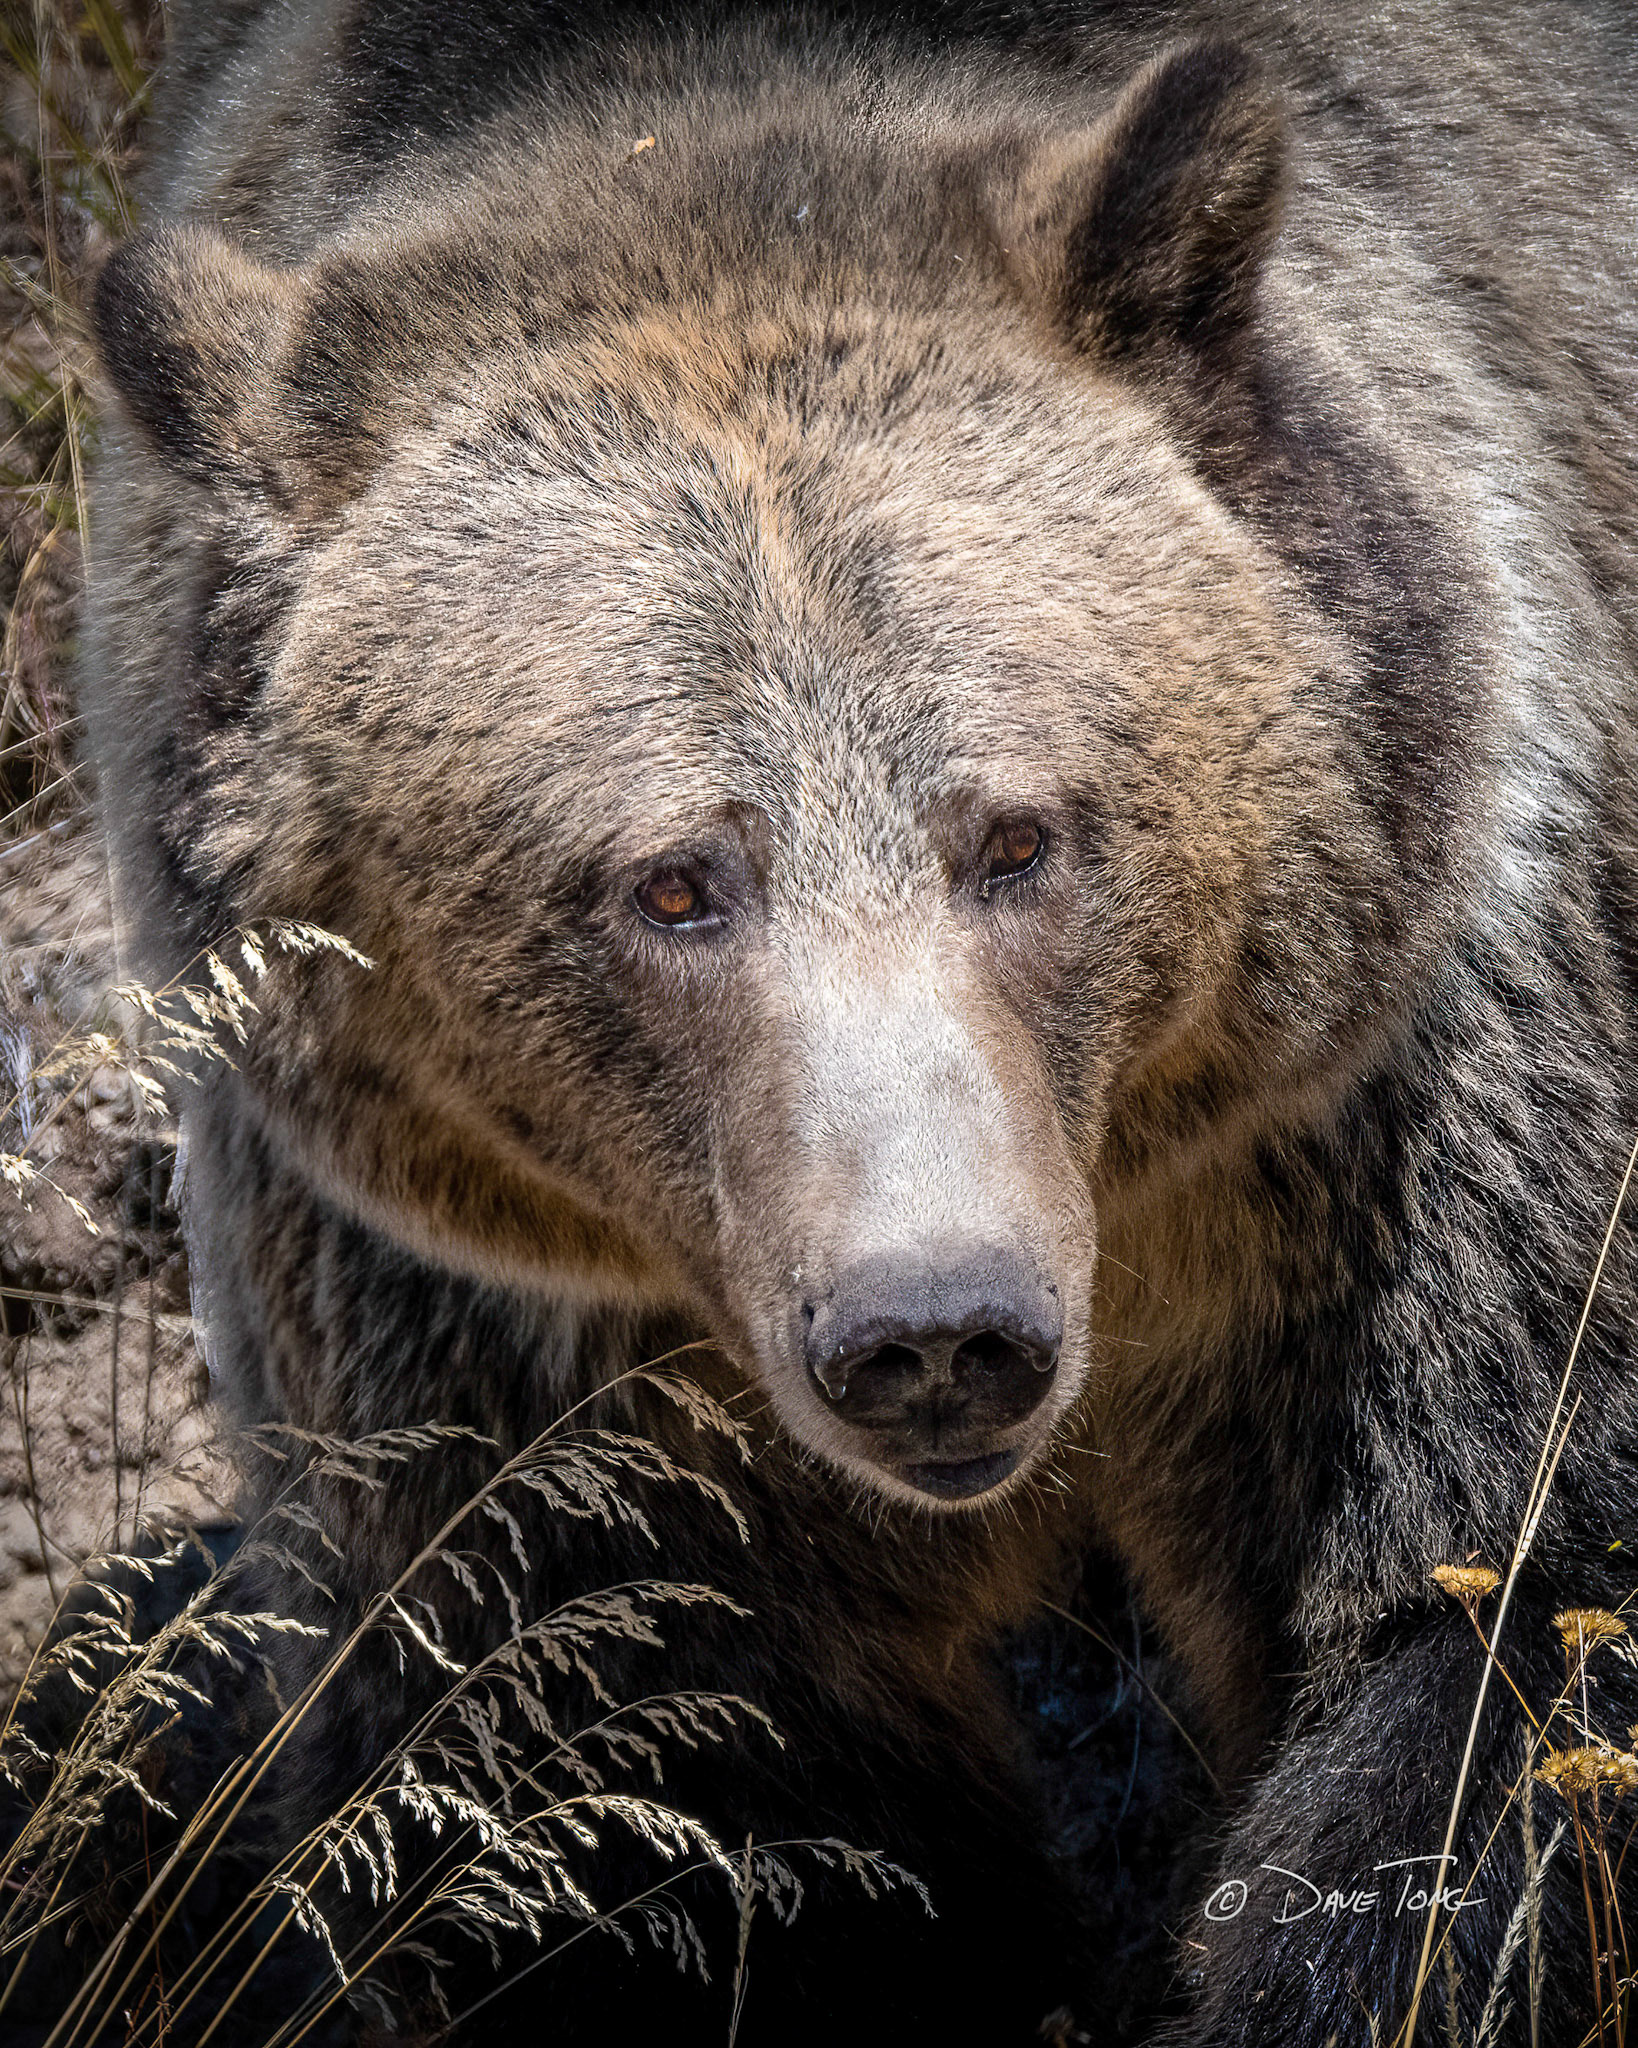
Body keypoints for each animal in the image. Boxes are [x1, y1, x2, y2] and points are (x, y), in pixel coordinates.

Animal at [80, 1, 1638, 2042]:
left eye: (1018, 835)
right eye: (671, 883)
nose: (937, 1330)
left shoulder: (1396, 1103)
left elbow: (1492, 1617)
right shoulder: (489, 1326)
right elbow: (628, 1773)